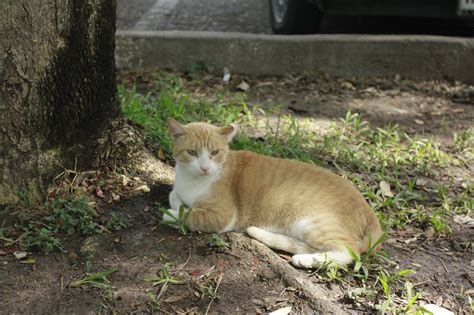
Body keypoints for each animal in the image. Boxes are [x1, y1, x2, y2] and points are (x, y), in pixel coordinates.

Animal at [165, 118, 384, 270]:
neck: (192, 179)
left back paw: (306, 259)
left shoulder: (223, 215)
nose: (204, 168)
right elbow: (173, 195)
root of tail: (372, 216)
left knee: (349, 251)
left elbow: (189, 214)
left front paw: (173, 213)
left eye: (215, 153)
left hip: (312, 223)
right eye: (192, 152)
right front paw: (178, 202)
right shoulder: (179, 189)